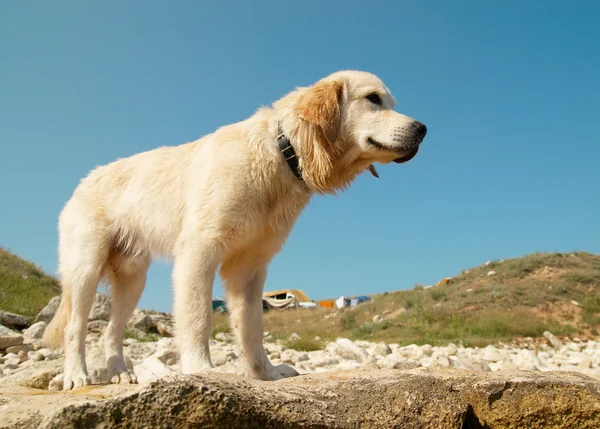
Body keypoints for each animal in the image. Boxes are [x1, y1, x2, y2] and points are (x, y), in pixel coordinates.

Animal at [43, 70, 426, 388]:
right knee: (76, 327)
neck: (281, 152)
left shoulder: (251, 267)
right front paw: (201, 368)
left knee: (111, 330)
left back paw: (119, 372)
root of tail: (82, 182)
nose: (423, 129)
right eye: (373, 98)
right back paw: (76, 376)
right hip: (86, 268)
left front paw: (266, 373)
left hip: (133, 279)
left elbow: (252, 328)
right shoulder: (199, 252)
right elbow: (199, 318)